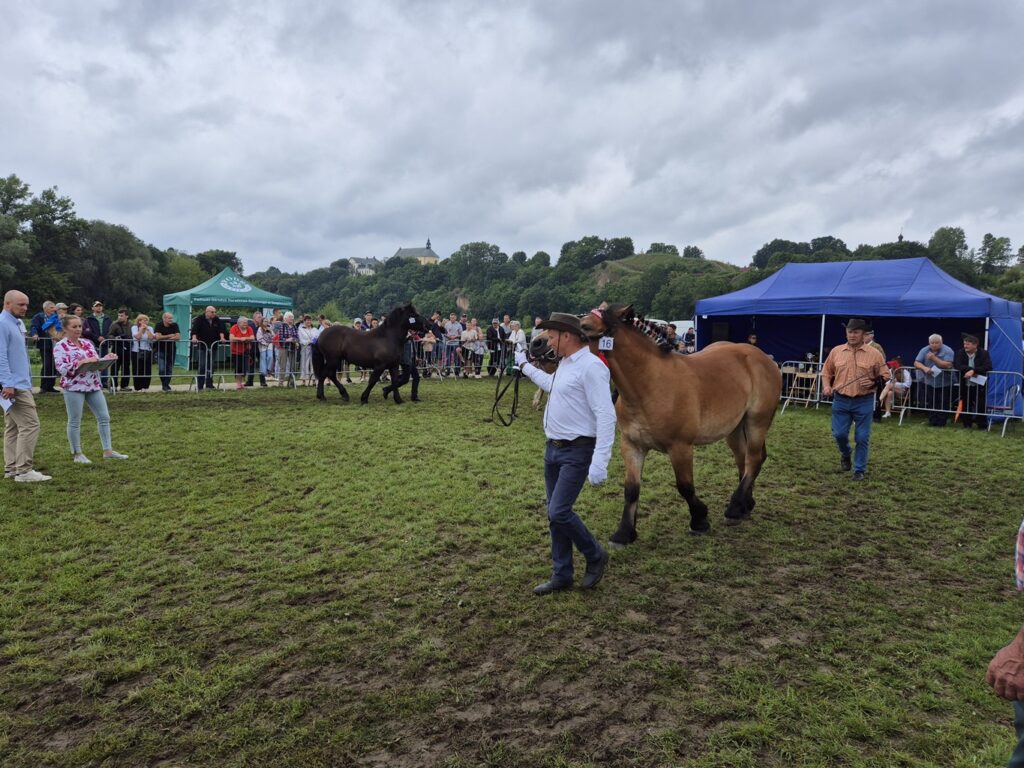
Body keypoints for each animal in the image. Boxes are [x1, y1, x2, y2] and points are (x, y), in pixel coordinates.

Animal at [532, 303, 778, 544]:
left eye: (585, 327)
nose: (537, 343)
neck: (650, 384)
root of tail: (762, 357)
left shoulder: (681, 448)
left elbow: (685, 486)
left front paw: (699, 520)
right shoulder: (632, 446)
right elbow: (631, 489)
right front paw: (624, 532)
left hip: (756, 422)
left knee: (753, 459)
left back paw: (735, 508)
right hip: (735, 429)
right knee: (743, 461)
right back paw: (745, 505)